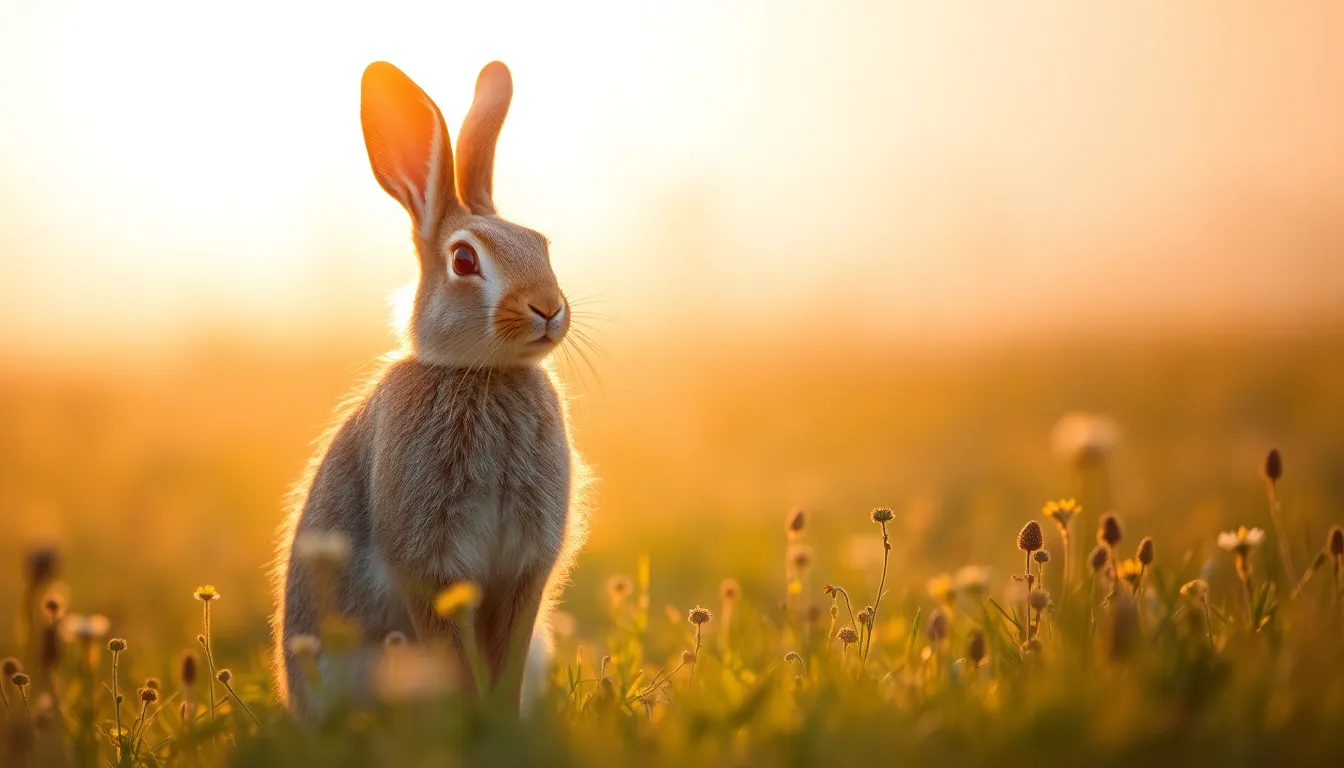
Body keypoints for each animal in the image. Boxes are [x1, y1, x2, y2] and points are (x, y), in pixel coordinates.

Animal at [270, 60, 590, 718]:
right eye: (464, 261)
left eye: (541, 244)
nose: (548, 308)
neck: (482, 374)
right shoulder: (428, 560)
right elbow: (455, 656)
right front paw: (475, 722)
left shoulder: (525, 565)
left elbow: (506, 654)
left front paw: (499, 721)